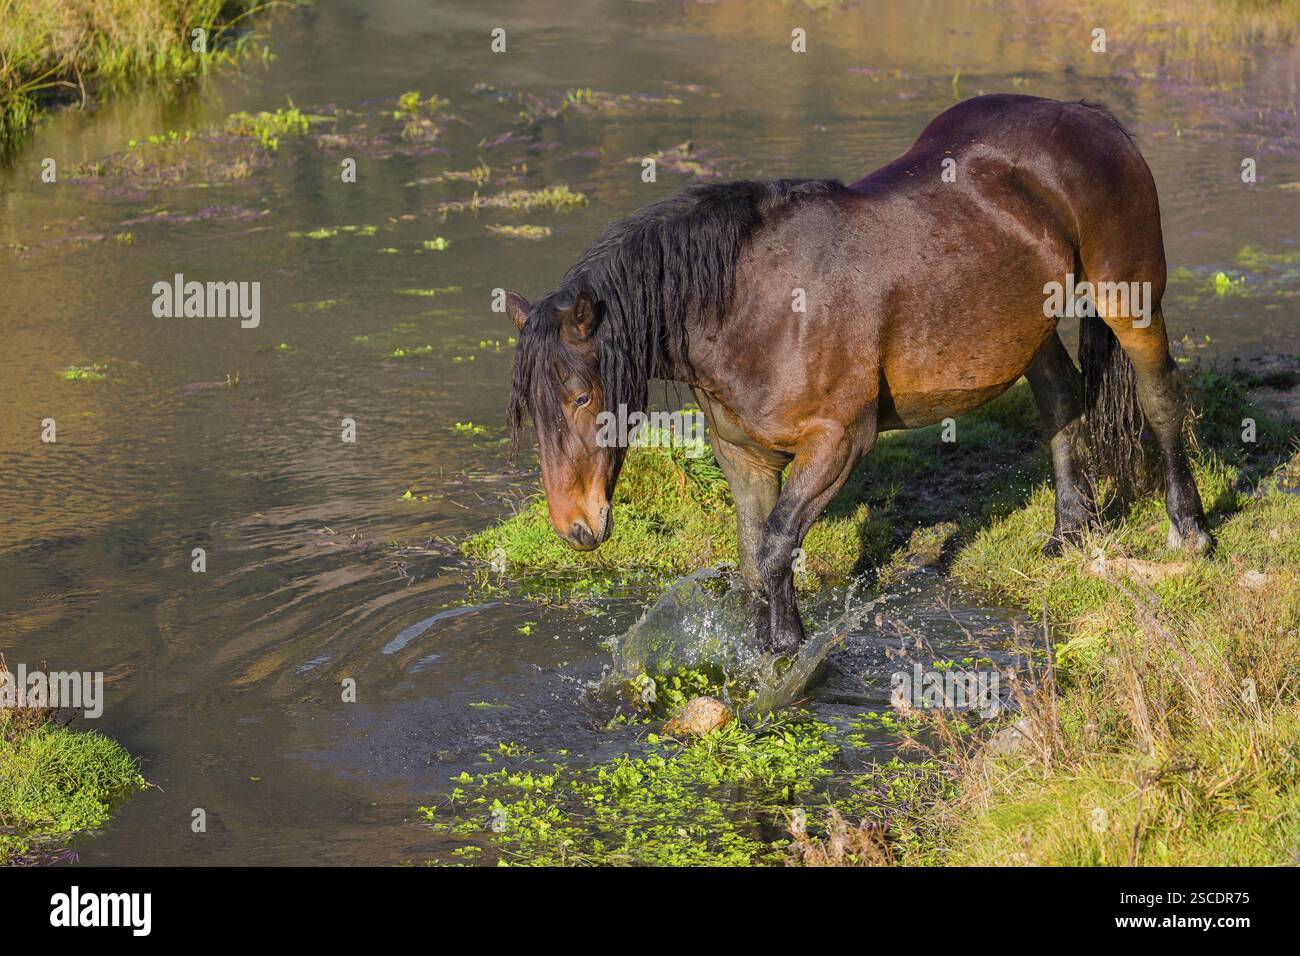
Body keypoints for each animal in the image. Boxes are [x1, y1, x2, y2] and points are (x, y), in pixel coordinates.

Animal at [504, 93, 1213, 654]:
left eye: (581, 396)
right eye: (532, 411)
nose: (575, 528)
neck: (750, 305)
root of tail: (1091, 117)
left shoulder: (837, 442)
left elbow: (774, 546)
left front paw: (789, 657)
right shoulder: (745, 456)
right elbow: (756, 554)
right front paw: (769, 650)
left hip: (1131, 298)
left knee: (1159, 399)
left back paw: (1190, 531)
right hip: (1027, 326)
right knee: (1062, 399)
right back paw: (1069, 533)